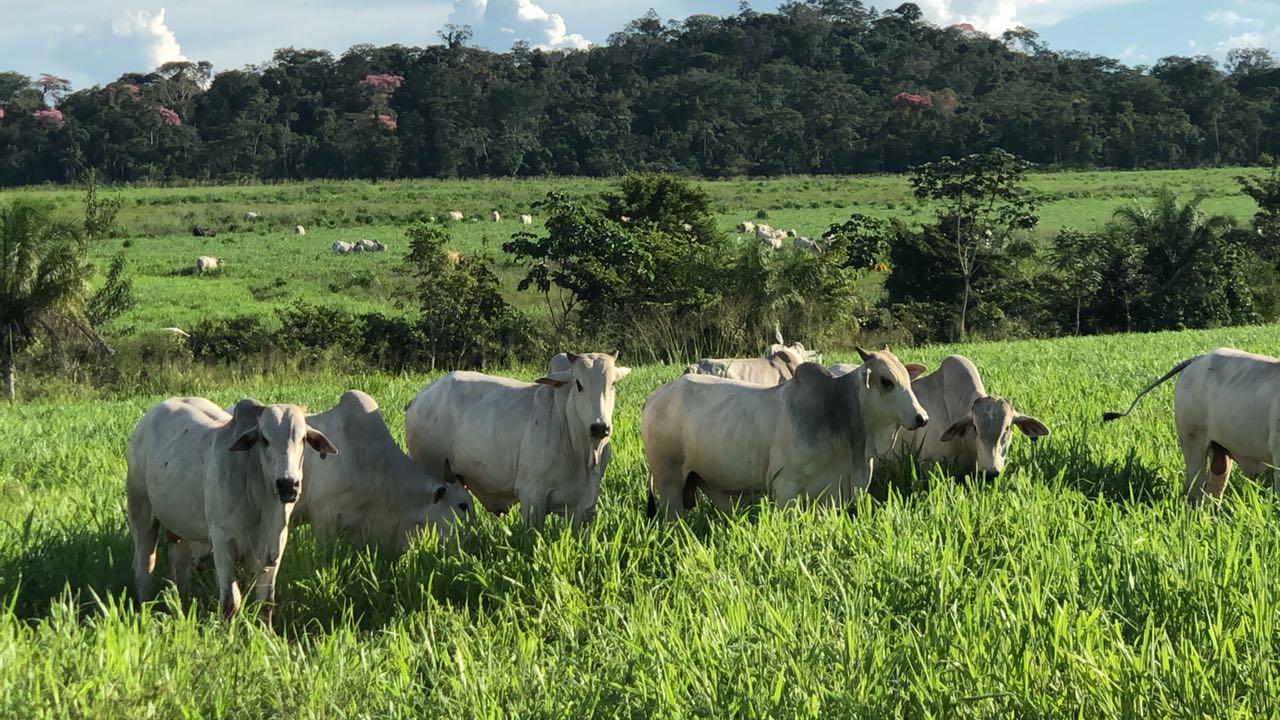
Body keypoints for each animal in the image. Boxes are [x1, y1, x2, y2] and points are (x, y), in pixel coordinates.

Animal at [126, 394, 340, 625]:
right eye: (264, 439)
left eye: (303, 439)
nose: (288, 485)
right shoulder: (222, 543)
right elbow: (231, 602)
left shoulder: (276, 546)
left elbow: (266, 602)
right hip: (140, 512)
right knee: (144, 566)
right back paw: (144, 610)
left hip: (183, 528)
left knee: (179, 565)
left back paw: (182, 608)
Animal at [407, 351, 632, 525]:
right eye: (578, 384)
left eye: (612, 384)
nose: (600, 427)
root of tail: (417, 399)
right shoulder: (532, 497)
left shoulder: (586, 505)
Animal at [645, 345, 926, 517]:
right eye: (886, 382)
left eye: (907, 378)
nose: (921, 417)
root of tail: (654, 397)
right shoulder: (785, 487)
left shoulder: (832, 494)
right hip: (669, 482)